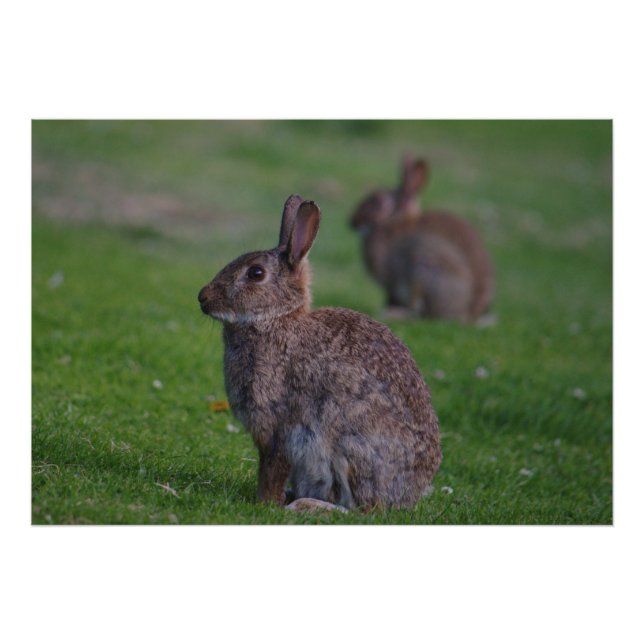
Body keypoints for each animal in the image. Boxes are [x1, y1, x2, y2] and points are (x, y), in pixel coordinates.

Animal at [198, 195, 441, 511]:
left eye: (255, 273)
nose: (202, 297)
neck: (275, 319)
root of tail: (408, 495)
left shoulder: (278, 428)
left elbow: (272, 469)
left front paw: (265, 503)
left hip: (353, 448)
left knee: (364, 509)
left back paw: (306, 506)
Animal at [350, 158, 495, 322]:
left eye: (376, 201)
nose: (351, 221)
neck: (393, 221)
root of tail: (470, 314)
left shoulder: (392, 281)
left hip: (426, 271)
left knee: (421, 314)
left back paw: (395, 314)